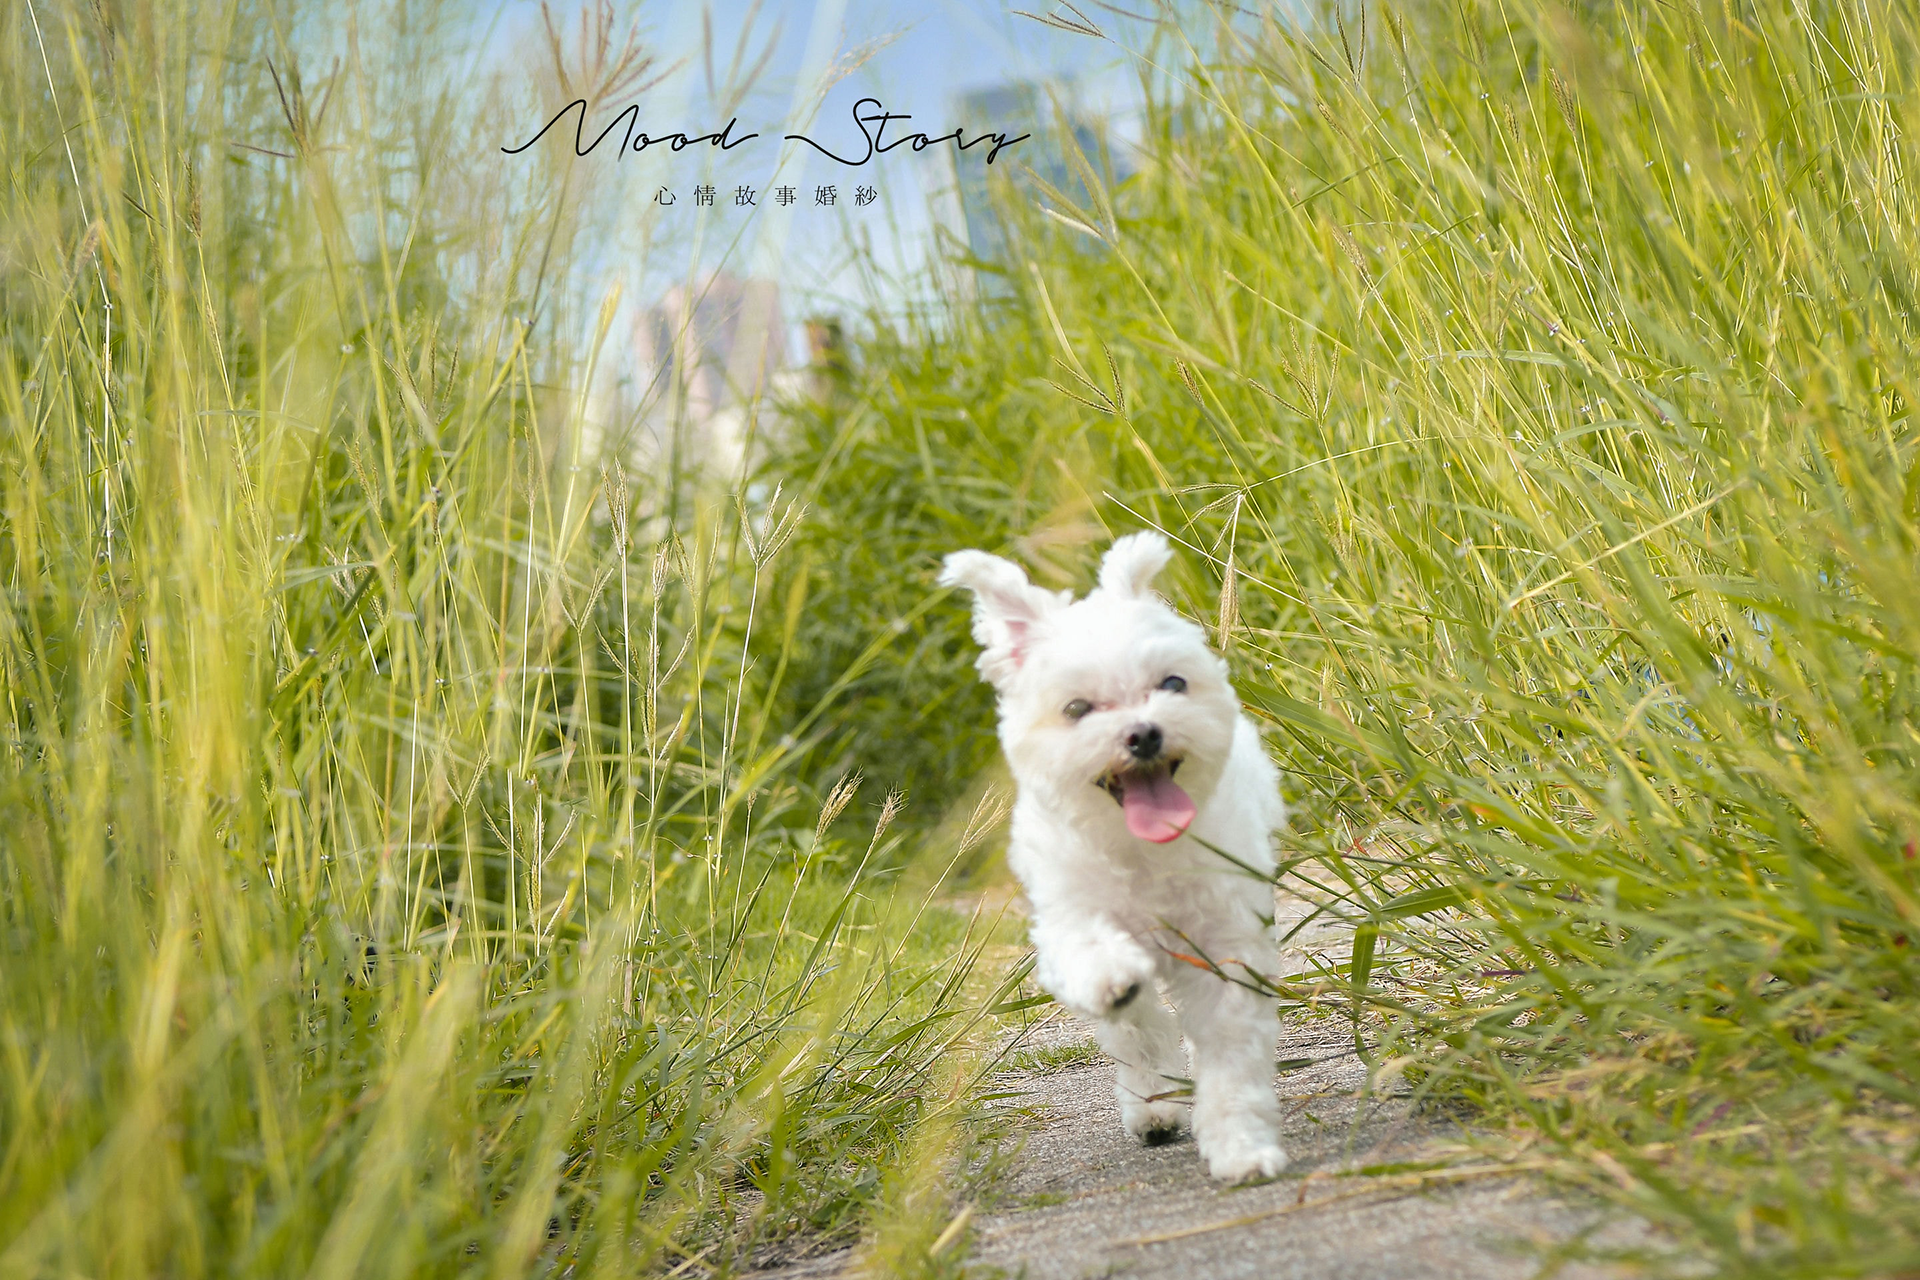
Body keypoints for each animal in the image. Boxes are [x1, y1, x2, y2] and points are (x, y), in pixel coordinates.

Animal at [940, 532, 1288, 1182]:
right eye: (1078, 708)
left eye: (1172, 684)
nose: (1143, 733)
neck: (1142, 850)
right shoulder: (1067, 915)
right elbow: (1109, 980)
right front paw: (1113, 981)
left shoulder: (1224, 949)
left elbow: (1230, 1060)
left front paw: (1241, 1146)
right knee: (1139, 1029)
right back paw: (1153, 1103)